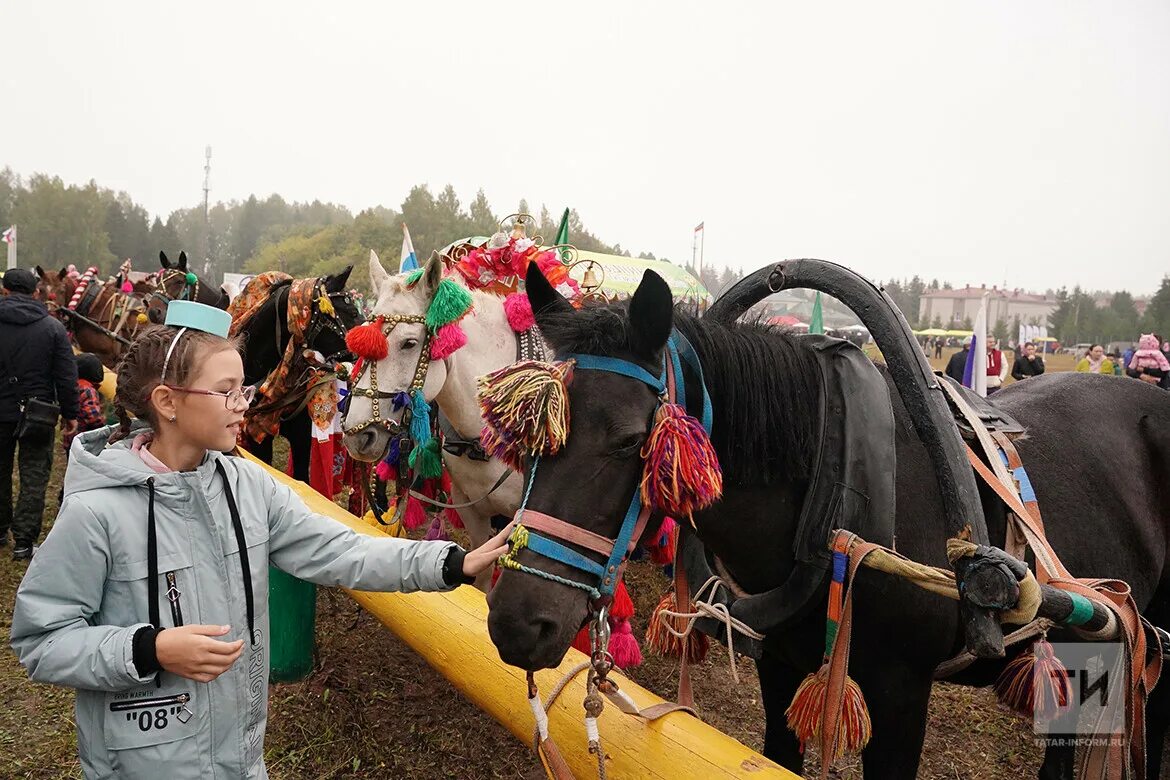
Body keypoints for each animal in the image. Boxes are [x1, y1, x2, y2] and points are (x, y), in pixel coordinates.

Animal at [484, 266, 1170, 780]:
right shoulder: (779, 664)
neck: (836, 479)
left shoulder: (900, 694)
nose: (518, 623)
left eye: (630, 441)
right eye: (526, 435)